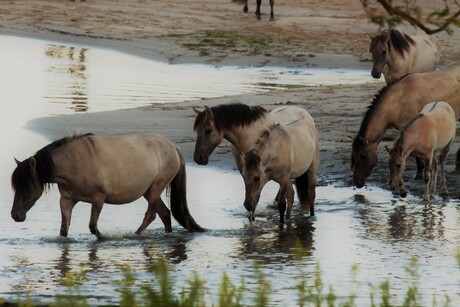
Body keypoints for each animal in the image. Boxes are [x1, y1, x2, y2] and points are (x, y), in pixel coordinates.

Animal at [9, 132, 204, 238]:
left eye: (26, 186)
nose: (15, 215)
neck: (75, 162)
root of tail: (173, 147)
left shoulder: (98, 199)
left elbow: (93, 227)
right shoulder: (66, 200)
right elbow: (64, 230)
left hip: (157, 186)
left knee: (152, 215)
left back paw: (134, 235)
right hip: (148, 191)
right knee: (164, 213)